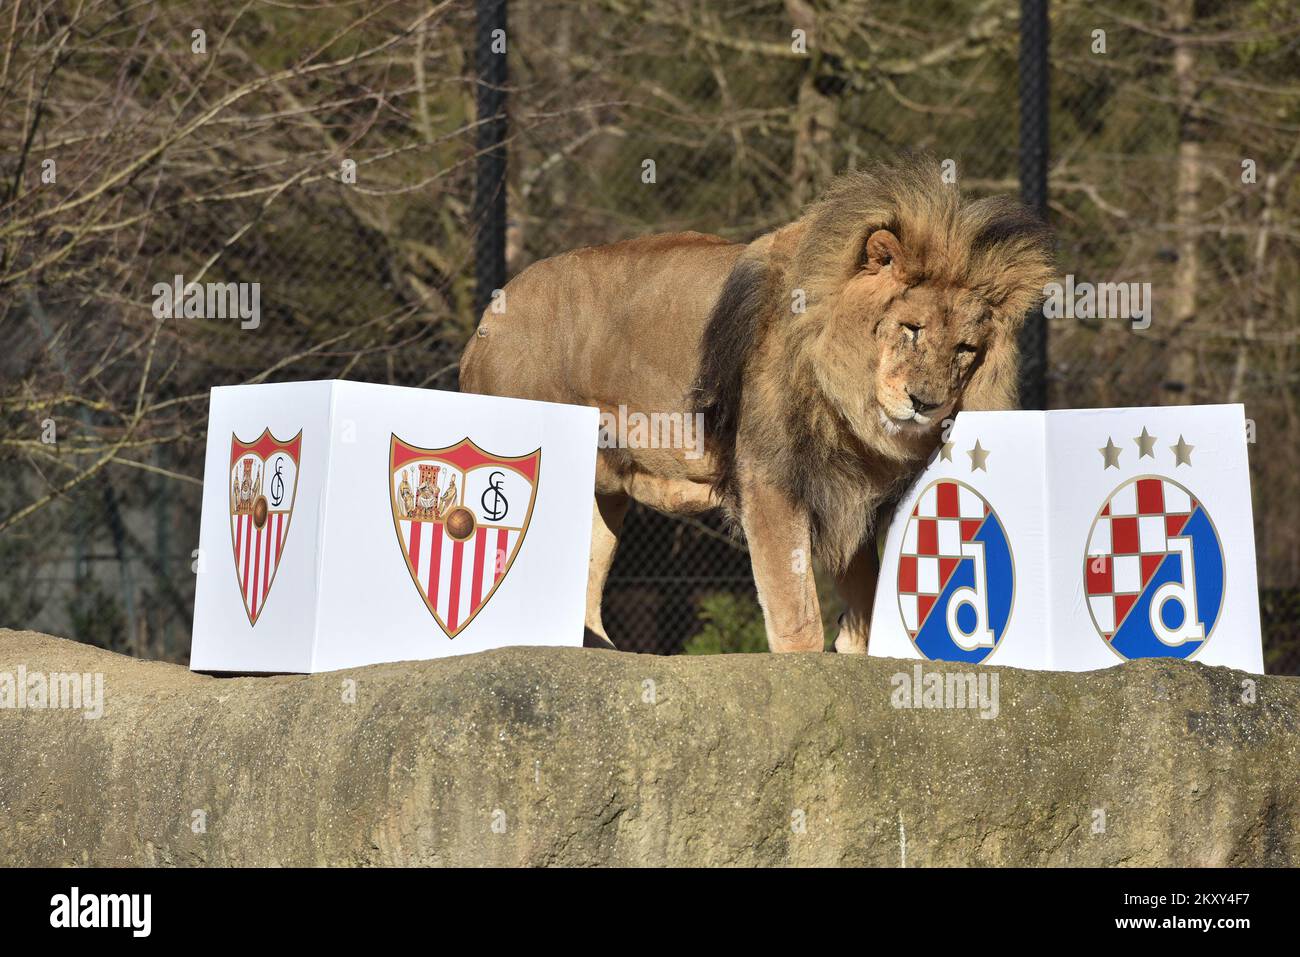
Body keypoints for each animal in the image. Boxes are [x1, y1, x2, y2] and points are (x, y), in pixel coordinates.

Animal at [462, 157, 1050, 655]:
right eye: (911, 328)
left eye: (965, 350)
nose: (926, 403)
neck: (848, 397)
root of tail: (487, 322)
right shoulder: (770, 477)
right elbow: (796, 611)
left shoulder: (849, 489)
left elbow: (863, 598)